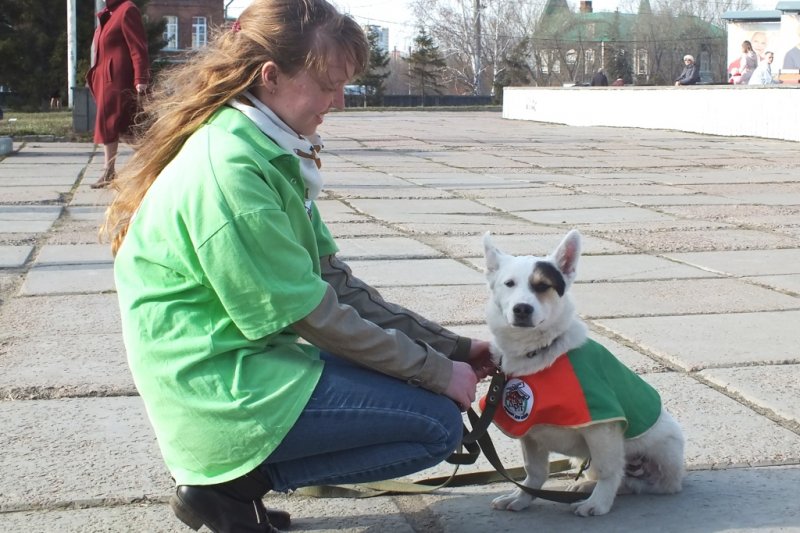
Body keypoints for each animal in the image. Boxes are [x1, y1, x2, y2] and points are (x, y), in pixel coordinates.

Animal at [478, 230, 684, 516]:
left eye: (543, 286)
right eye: (509, 283)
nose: (522, 309)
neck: (539, 353)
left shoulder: (602, 427)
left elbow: (609, 472)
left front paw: (599, 502)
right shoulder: (530, 434)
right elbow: (534, 473)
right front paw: (522, 497)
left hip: (663, 450)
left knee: (638, 480)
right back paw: (585, 486)